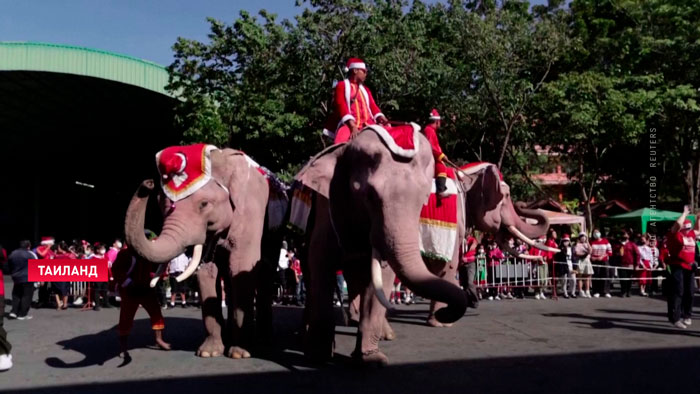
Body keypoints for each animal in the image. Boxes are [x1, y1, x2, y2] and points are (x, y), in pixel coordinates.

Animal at [292, 124, 468, 364]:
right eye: (369, 196)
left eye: (423, 199)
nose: (446, 313)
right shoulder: (325, 207)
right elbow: (321, 264)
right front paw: (318, 358)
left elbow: (382, 275)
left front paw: (371, 359)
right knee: (310, 274)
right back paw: (305, 338)